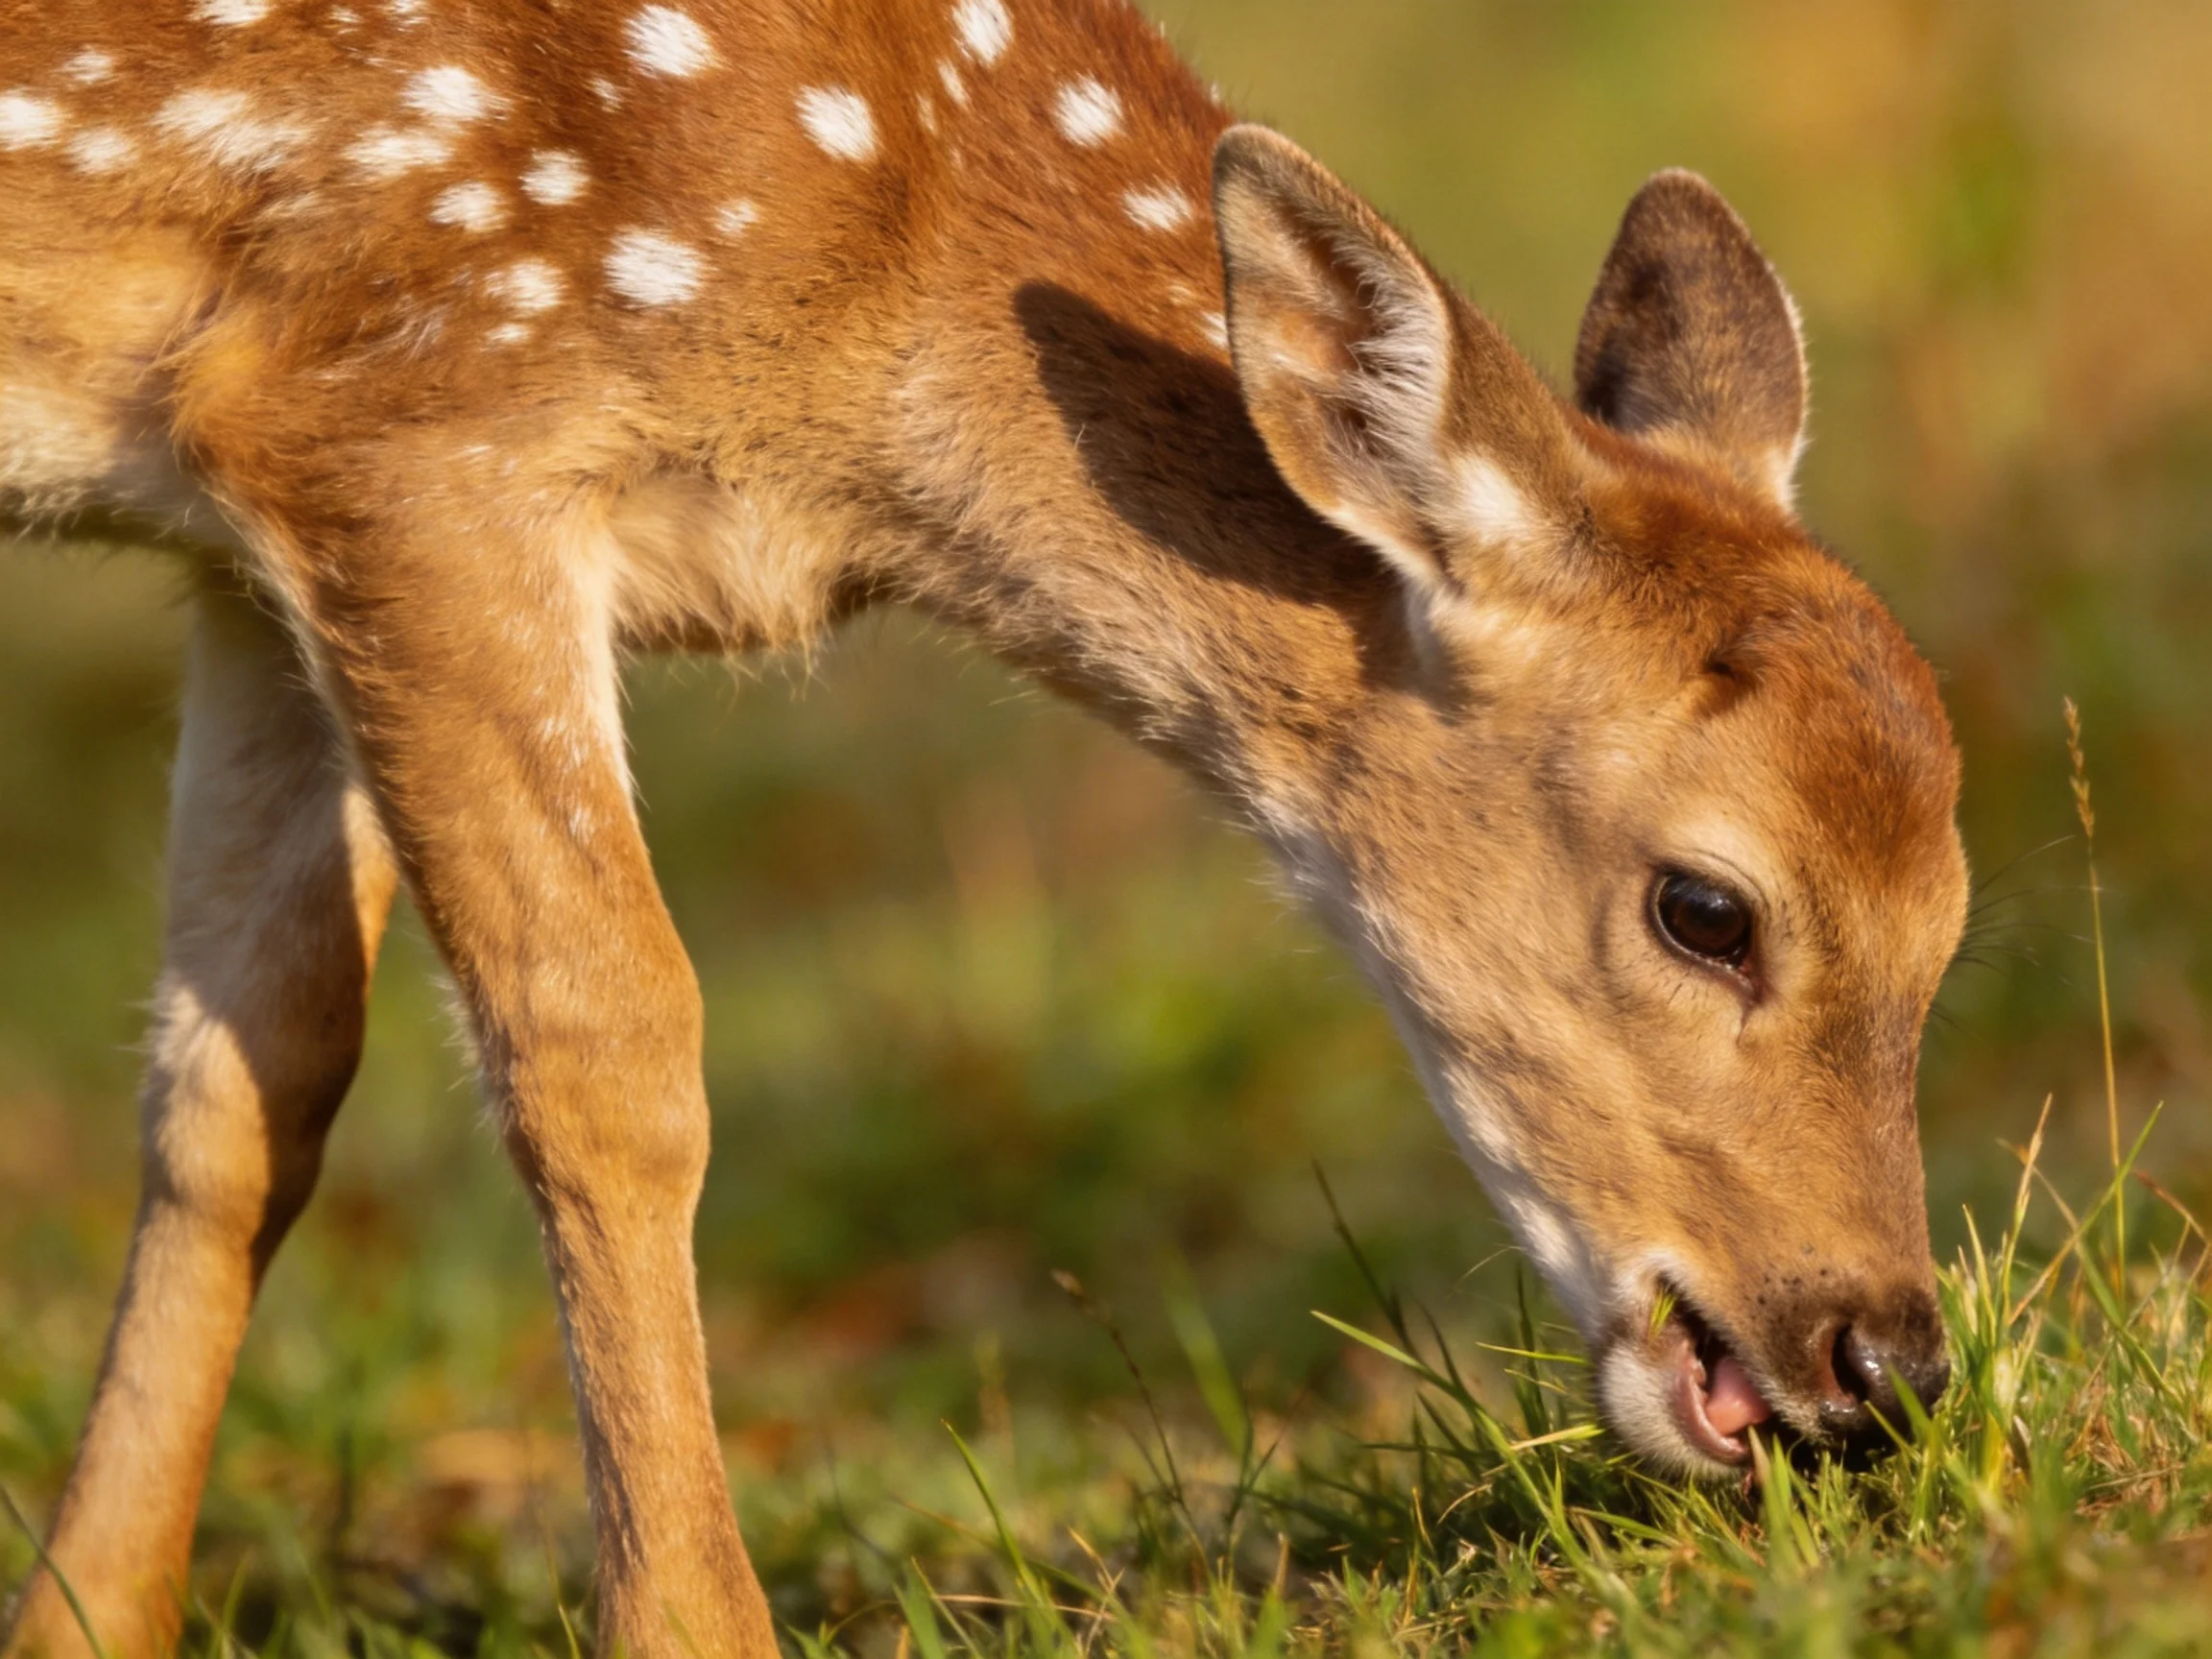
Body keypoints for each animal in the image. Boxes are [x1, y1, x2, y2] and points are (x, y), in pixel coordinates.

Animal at [0, 0, 1970, 1652]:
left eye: (1953, 923)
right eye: (1704, 907)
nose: (1881, 1356)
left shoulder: (251, 518)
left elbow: (248, 1081)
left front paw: (84, 1619)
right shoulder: (423, 421)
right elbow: (608, 1050)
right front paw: (693, 1626)